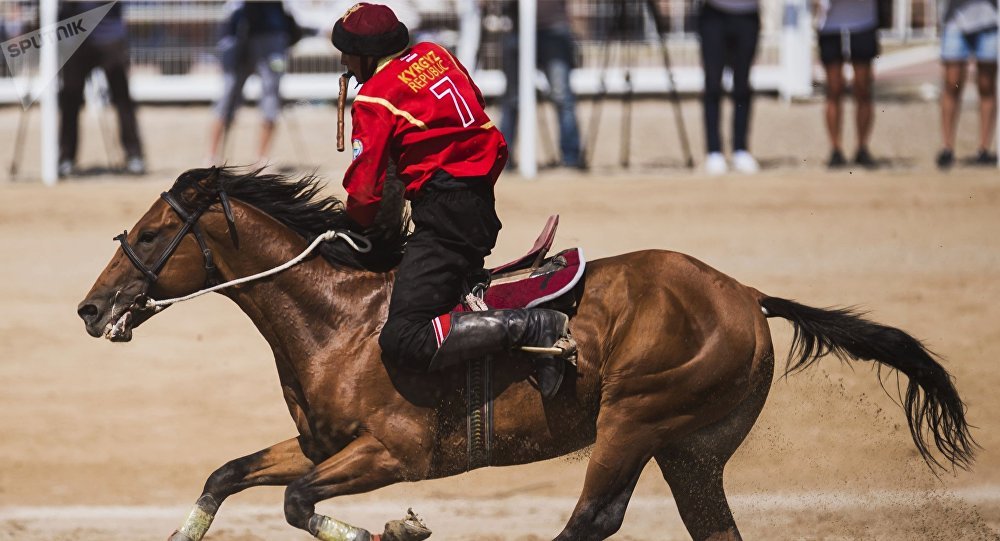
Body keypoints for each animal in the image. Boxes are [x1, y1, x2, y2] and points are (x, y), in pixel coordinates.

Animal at [80, 166, 976, 540]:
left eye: (153, 235)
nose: (92, 308)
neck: (341, 317)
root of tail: (747, 294)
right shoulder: (319, 443)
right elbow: (226, 474)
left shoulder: (394, 453)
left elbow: (300, 503)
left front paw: (399, 531)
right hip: (691, 450)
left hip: (634, 422)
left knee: (593, 519)